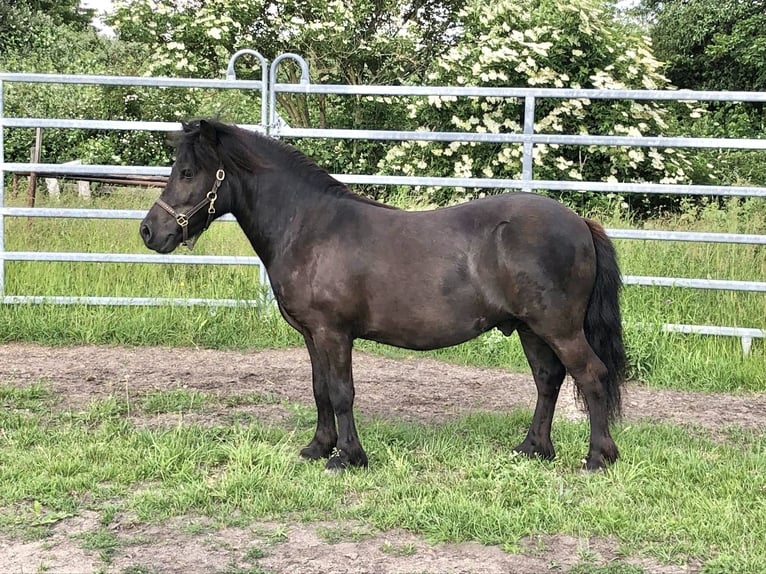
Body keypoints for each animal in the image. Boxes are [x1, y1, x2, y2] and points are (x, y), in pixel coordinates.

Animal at [141, 120, 628, 472]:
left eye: (187, 172)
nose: (149, 231)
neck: (309, 228)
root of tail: (579, 222)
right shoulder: (312, 335)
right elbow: (320, 390)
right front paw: (318, 448)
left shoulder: (334, 333)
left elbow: (341, 392)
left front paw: (348, 457)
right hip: (530, 328)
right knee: (548, 380)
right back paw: (533, 448)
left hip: (559, 328)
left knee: (591, 376)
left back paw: (597, 458)